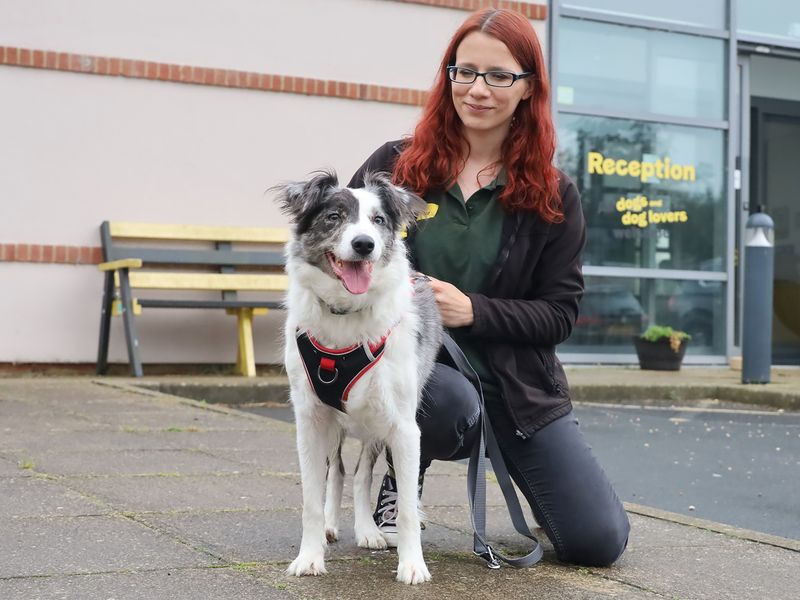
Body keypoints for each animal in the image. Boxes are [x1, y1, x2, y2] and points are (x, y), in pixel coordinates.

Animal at [276, 171, 444, 584]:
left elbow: (406, 509)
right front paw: (309, 557)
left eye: (379, 220)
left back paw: (368, 530)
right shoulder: (310, 419)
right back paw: (330, 526)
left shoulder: (403, 427)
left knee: (362, 472)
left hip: (373, 425)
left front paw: (412, 565)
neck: (345, 312)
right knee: (336, 471)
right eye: (334, 216)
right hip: (335, 425)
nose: (364, 244)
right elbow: (311, 499)